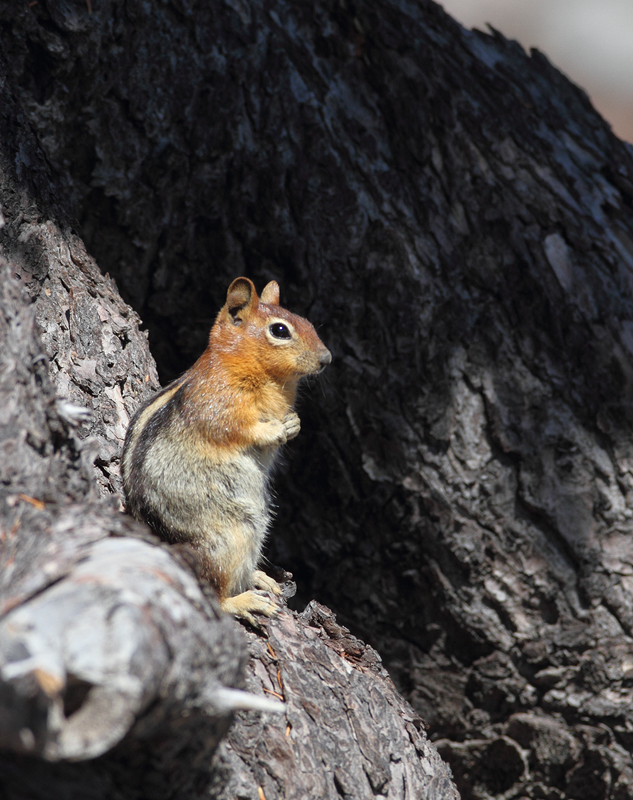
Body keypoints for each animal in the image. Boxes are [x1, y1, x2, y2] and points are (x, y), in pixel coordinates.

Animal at [121, 278, 334, 620]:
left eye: (309, 323)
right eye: (280, 330)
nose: (326, 359)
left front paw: (294, 423)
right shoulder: (218, 403)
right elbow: (236, 429)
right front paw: (274, 429)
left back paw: (260, 577)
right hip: (231, 535)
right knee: (213, 590)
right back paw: (244, 600)